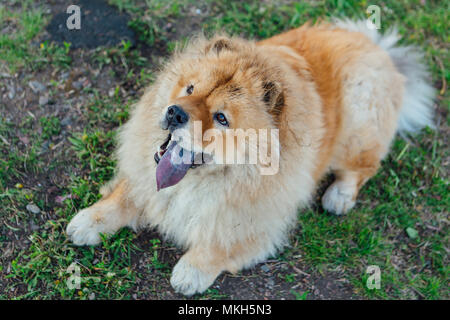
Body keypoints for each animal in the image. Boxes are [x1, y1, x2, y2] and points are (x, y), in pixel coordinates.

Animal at [66, 19, 432, 296]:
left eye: (221, 118)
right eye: (190, 89)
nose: (174, 113)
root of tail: (377, 48)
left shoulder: (257, 218)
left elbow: (220, 242)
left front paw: (190, 272)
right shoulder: (143, 173)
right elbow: (123, 195)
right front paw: (87, 222)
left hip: (359, 113)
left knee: (360, 169)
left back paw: (338, 197)